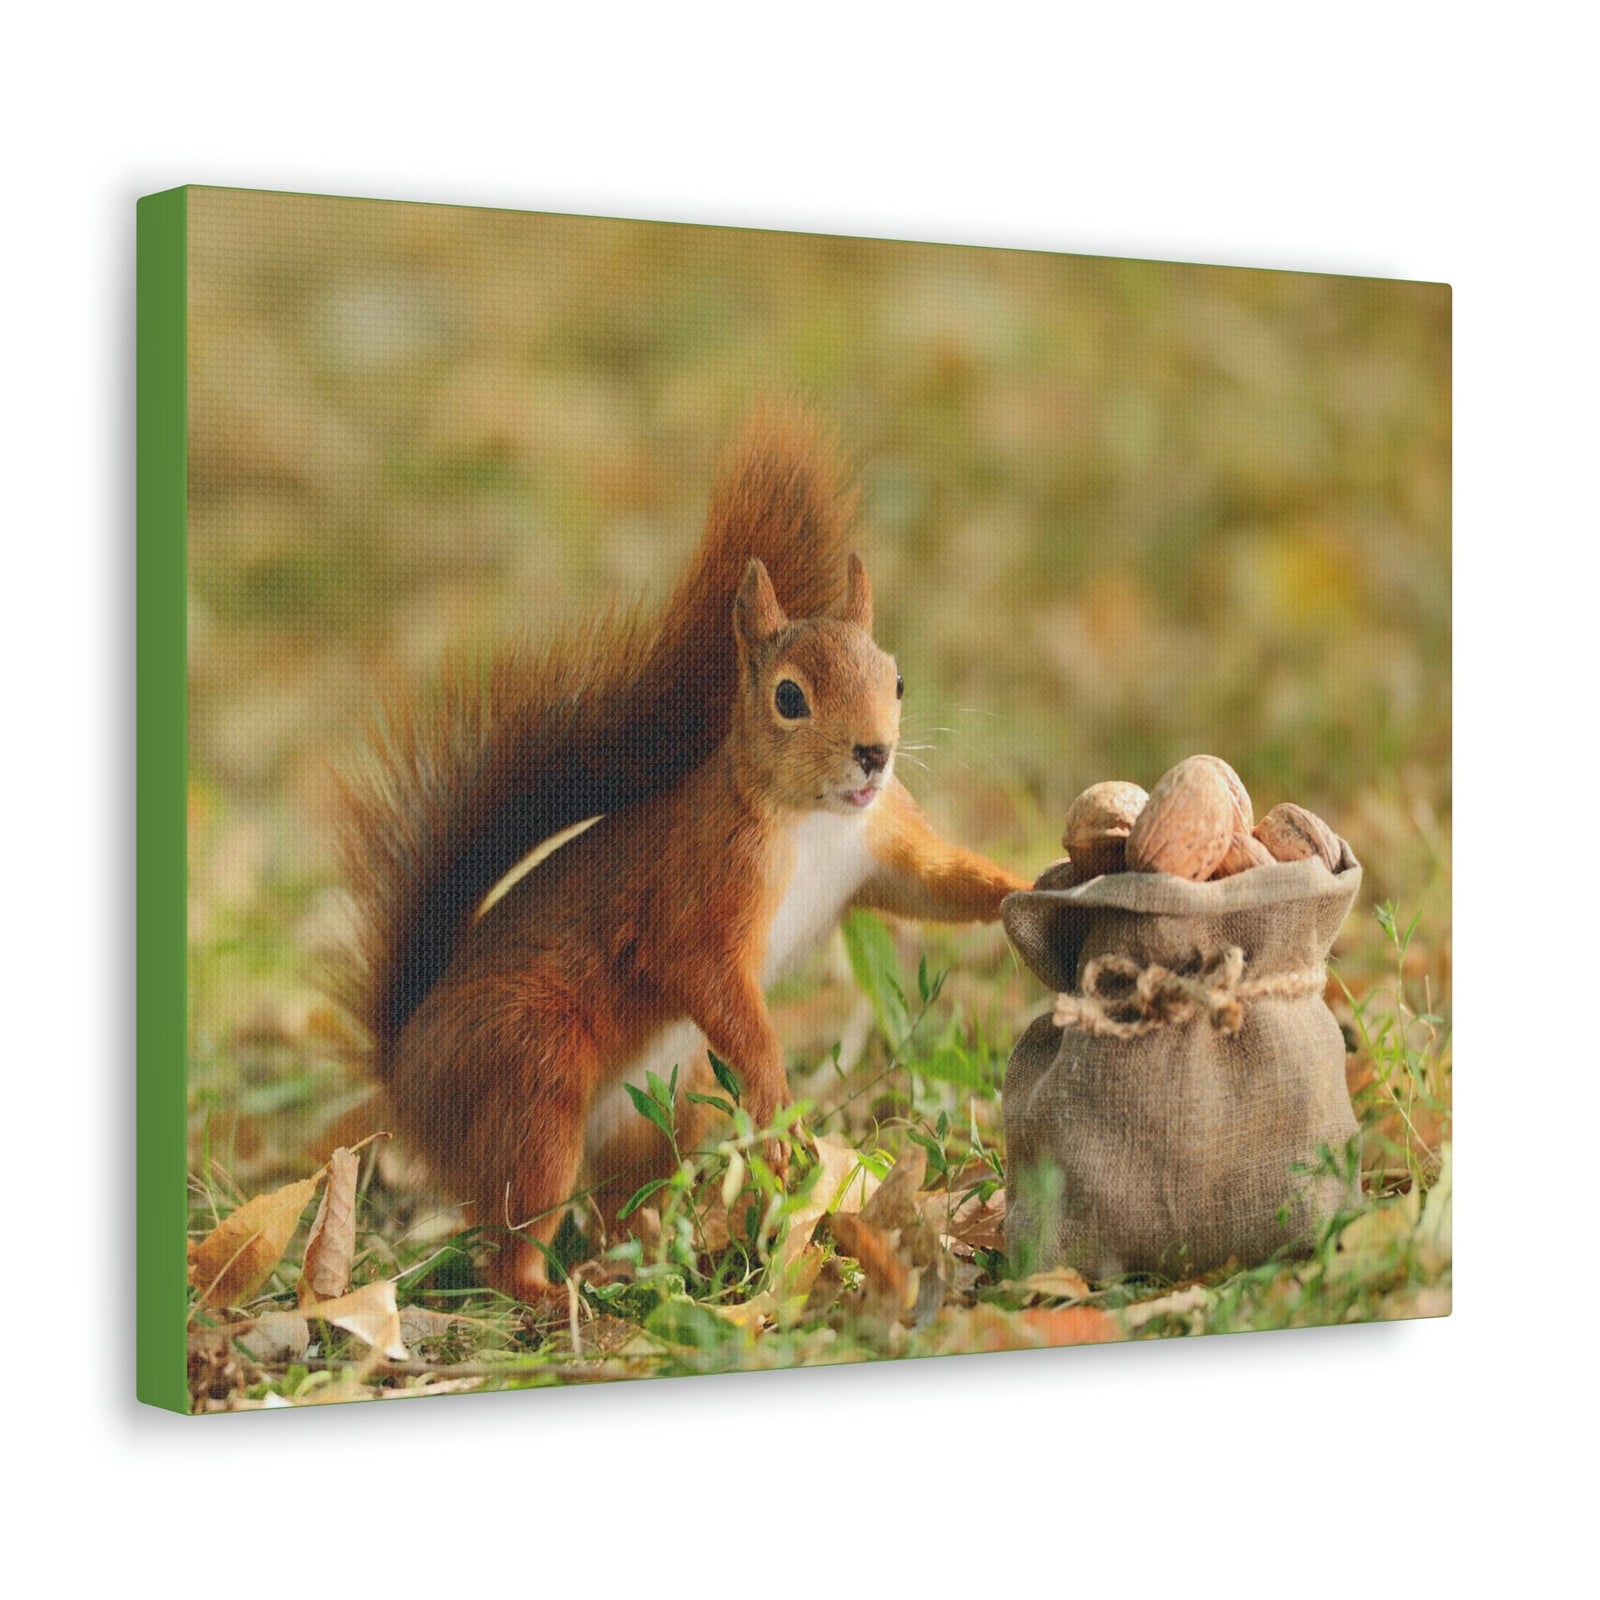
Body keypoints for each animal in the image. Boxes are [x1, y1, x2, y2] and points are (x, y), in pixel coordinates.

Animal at [336, 404, 1029, 1297]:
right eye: (789, 697)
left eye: (897, 679)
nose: (875, 754)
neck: (815, 822)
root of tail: (406, 1073)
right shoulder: (703, 885)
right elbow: (704, 973)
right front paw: (776, 1100)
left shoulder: (882, 845)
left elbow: (939, 886)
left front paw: (1033, 882)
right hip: (530, 1079)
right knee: (509, 1237)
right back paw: (555, 1292)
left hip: (663, 1110)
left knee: (623, 1204)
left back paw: (659, 1259)